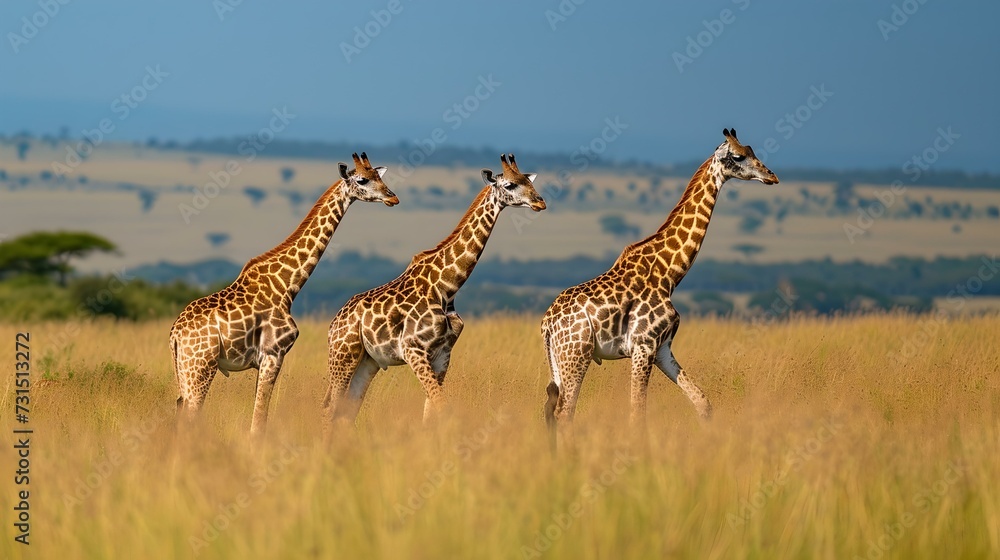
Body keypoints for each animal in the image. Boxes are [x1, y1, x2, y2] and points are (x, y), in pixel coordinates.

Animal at [170, 152, 399, 440]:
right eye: (362, 180)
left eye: (380, 176)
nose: (393, 198)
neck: (287, 286)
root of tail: (175, 335)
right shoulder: (273, 354)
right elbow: (258, 422)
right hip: (200, 366)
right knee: (190, 414)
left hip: (184, 370)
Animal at [323, 154, 546, 429]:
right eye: (510, 185)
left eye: (528, 180)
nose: (540, 202)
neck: (447, 287)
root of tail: (333, 325)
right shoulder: (413, 349)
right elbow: (441, 406)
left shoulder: (442, 354)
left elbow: (431, 412)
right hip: (344, 355)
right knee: (330, 408)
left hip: (368, 361)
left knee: (346, 410)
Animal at [541, 129, 779, 448]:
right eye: (739, 156)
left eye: (752, 150)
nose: (771, 176)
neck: (669, 274)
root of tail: (547, 323)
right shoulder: (644, 345)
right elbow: (637, 414)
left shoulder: (663, 348)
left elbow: (703, 404)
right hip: (576, 354)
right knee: (565, 413)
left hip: (559, 359)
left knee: (551, 409)